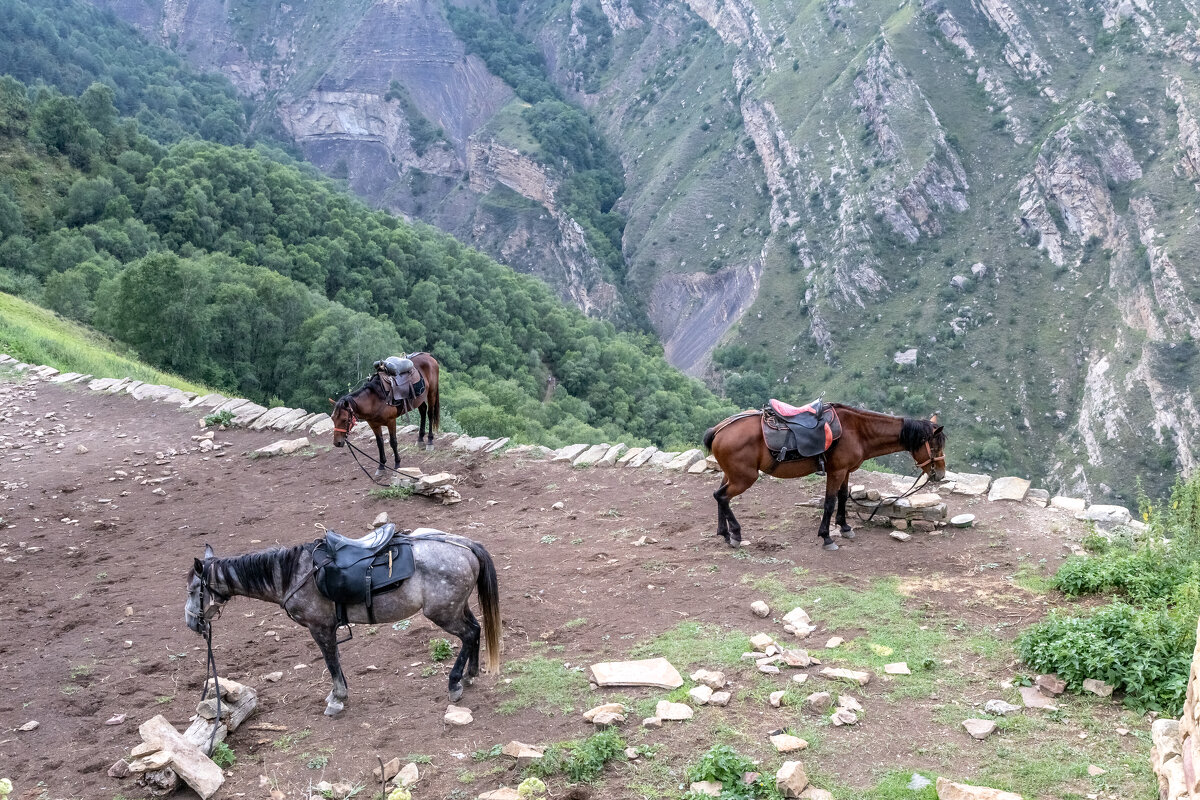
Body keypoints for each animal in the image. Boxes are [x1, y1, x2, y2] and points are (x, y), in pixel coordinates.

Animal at [183, 532, 501, 714]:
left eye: (192, 589)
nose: (190, 622)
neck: (292, 574)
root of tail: (466, 546)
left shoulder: (320, 628)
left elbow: (331, 662)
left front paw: (337, 698)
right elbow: (335, 660)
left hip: (444, 613)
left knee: (469, 634)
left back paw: (455, 683)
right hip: (456, 608)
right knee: (476, 630)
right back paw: (469, 675)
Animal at [700, 407, 945, 551]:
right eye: (935, 445)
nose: (940, 474)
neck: (855, 430)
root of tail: (719, 429)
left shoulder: (846, 471)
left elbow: (843, 497)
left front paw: (845, 527)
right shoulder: (835, 471)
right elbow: (829, 502)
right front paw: (827, 537)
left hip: (731, 475)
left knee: (718, 496)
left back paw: (725, 533)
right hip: (744, 478)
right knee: (722, 496)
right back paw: (735, 534)